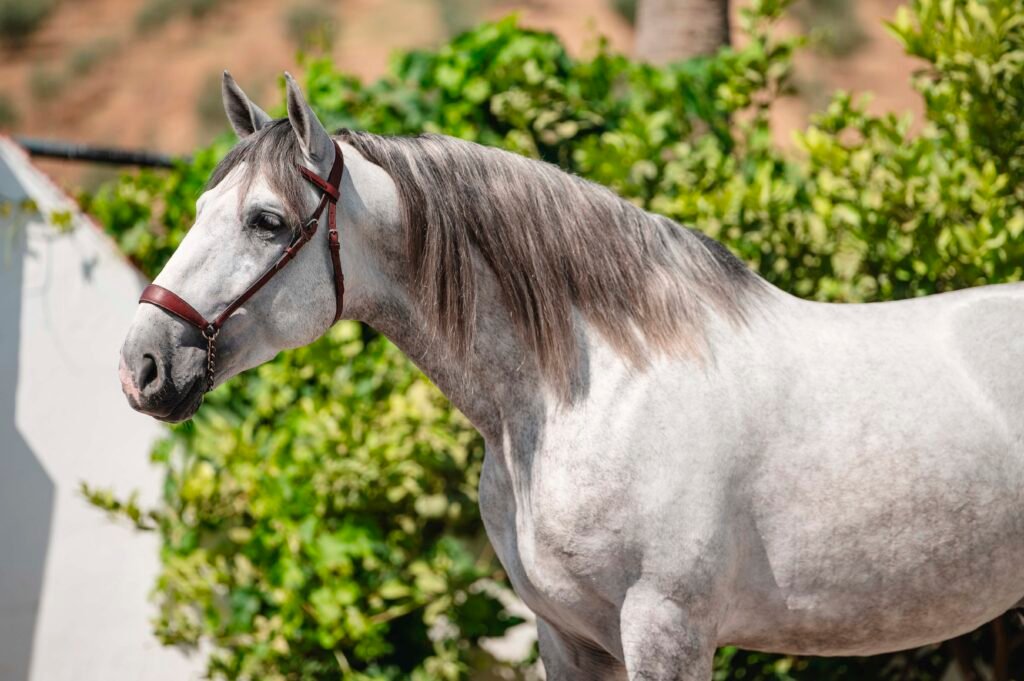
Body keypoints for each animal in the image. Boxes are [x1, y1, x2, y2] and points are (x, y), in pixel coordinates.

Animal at [118, 72, 1024, 680]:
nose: (143, 363)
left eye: (267, 221)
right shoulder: (568, 636)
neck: (585, 393)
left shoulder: (666, 628)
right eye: (198, 210)